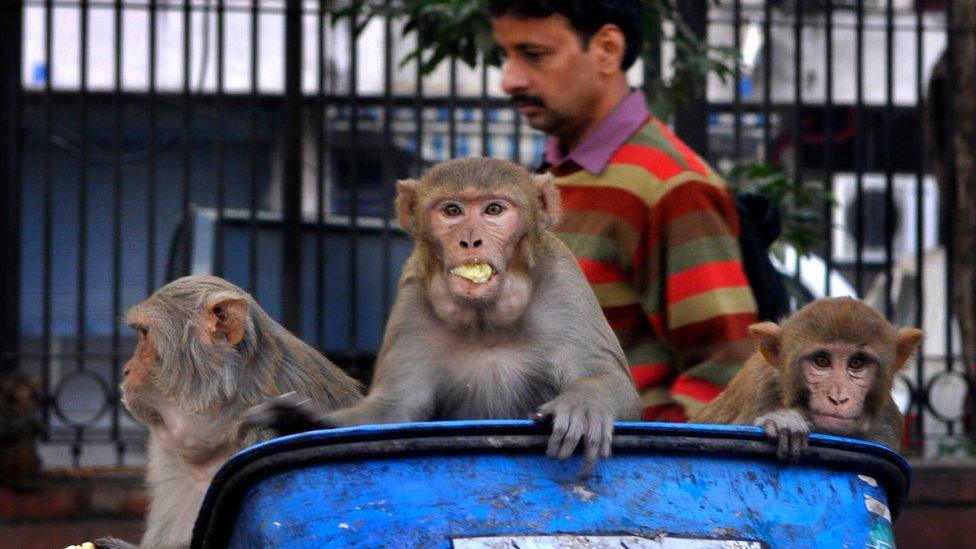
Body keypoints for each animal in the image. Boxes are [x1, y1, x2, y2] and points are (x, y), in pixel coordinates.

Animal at [252, 156, 644, 474]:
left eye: (494, 210)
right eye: (452, 211)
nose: (470, 241)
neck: (487, 322)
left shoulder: (564, 284)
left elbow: (606, 375)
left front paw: (584, 403)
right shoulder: (412, 298)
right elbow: (393, 410)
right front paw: (302, 421)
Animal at [692, 298, 928, 460]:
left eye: (857, 363)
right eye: (822, 361)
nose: (838, 398)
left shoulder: (887, 424)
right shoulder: (760, 390)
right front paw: (782, 423)